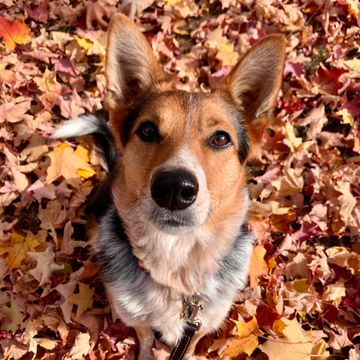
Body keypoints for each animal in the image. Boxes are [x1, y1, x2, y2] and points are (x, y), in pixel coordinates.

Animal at [52, 13, 286, 360]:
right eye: (148, 130)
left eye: (221, 138)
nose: (175, 189)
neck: (177, 268)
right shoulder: (136, 317)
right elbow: (146, 336)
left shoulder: (202, 322)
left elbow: (191, 343)